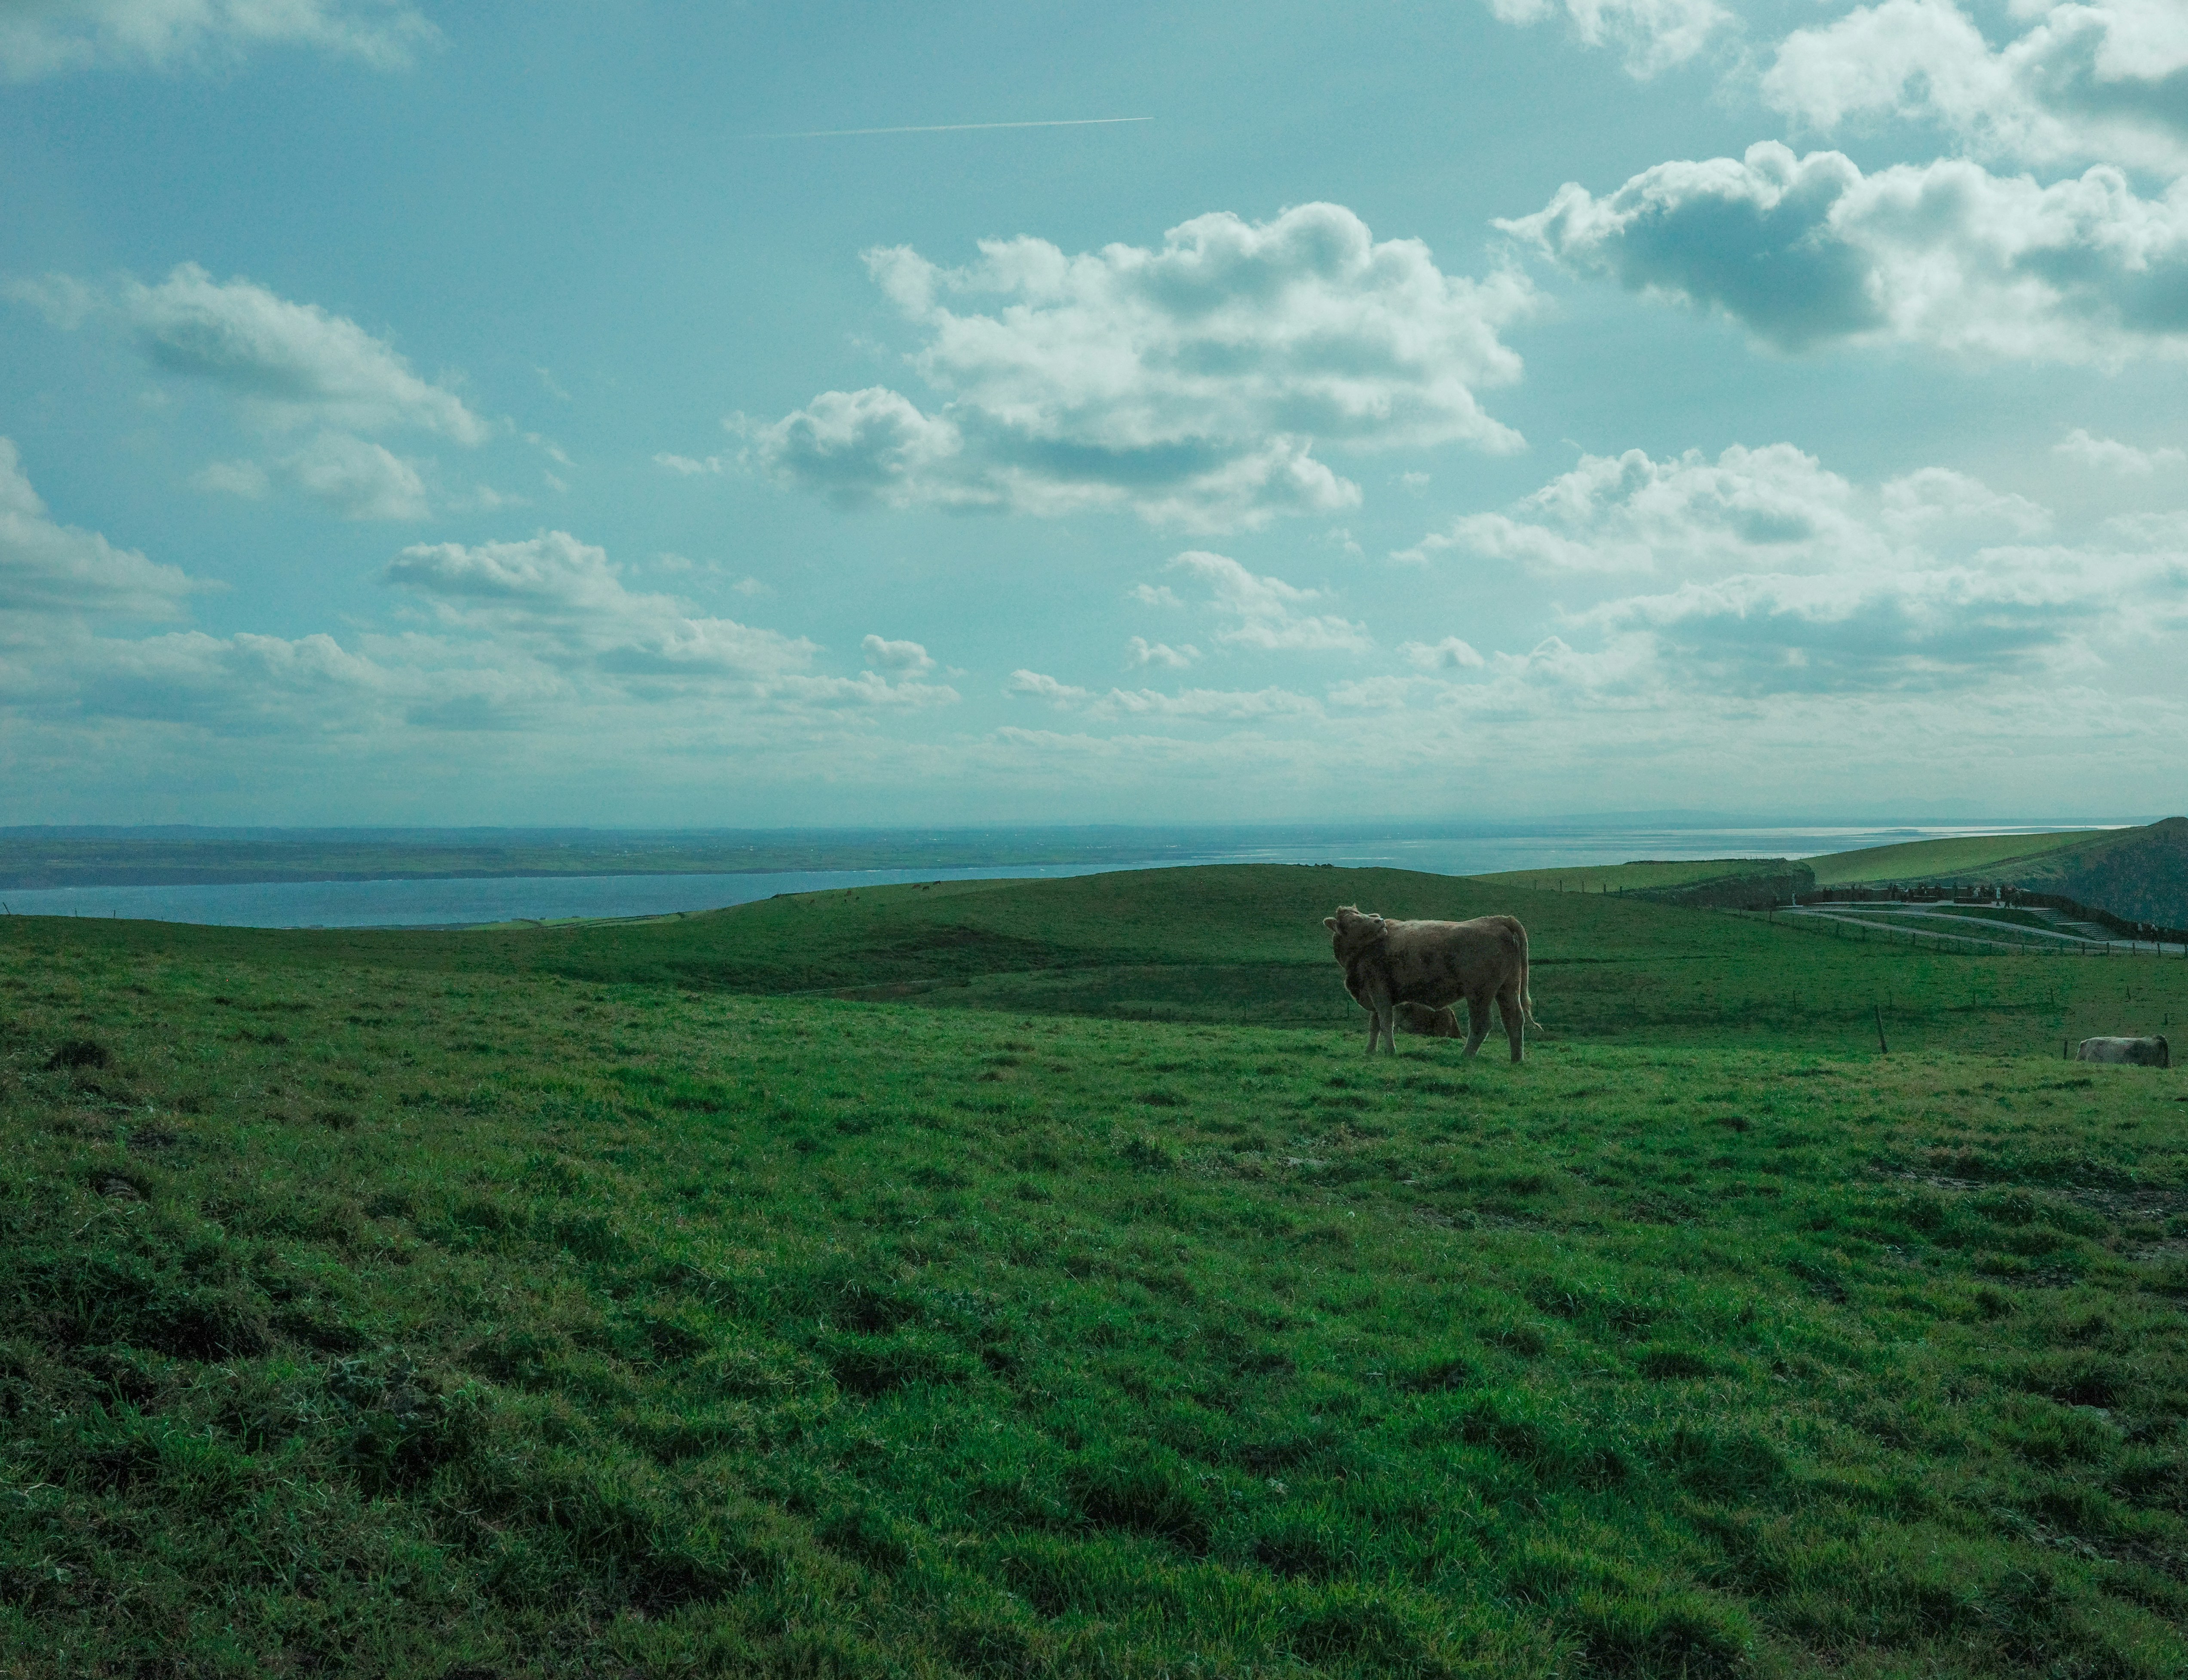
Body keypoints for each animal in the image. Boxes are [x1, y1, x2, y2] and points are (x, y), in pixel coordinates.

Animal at [1324, 904, 1538, 1060]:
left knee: (1482, 1024)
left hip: (1479, 994)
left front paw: (1389, 1051)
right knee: (1514, 1020)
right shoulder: (1376, 994)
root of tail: (1499, 920)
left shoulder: (1379, 991)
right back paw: (1516, 1059)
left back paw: (1466, 1055)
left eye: (1361, 914)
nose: (1380, 921)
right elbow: (1375, 1025)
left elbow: (1385, 1023)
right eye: (1354, 919)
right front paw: (1370, 1051)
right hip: (1507, 989)